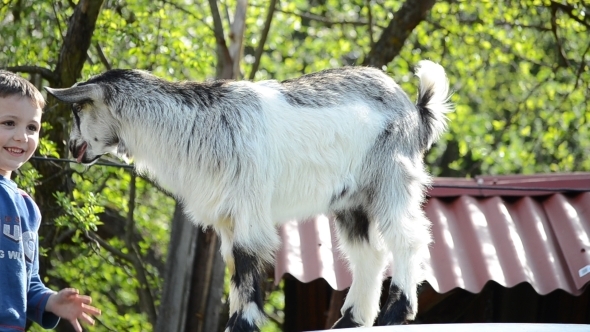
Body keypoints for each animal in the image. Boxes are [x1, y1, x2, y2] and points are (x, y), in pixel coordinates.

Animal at [46, 60, 454, 332]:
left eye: (79, 106)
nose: (72, 146)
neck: (198, 126)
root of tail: (415, 110)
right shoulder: (227, 216)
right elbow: (234, 266)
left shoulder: (248, 206)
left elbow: (245, 261)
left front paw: (243, 325)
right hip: (351, 200)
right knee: (368, 253)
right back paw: (351, 321)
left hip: (389, 179)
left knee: (407, 238)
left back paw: (396, 313)